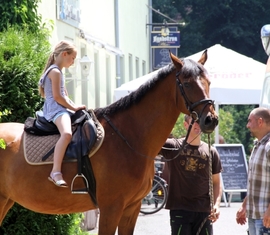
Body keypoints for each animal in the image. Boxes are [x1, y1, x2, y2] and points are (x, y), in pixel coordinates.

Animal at [0, 51, 218, 233]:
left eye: (208, 81)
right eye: (187, 83)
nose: (211, 120)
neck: (128, 137)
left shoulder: (131, 209)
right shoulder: (111, 208)